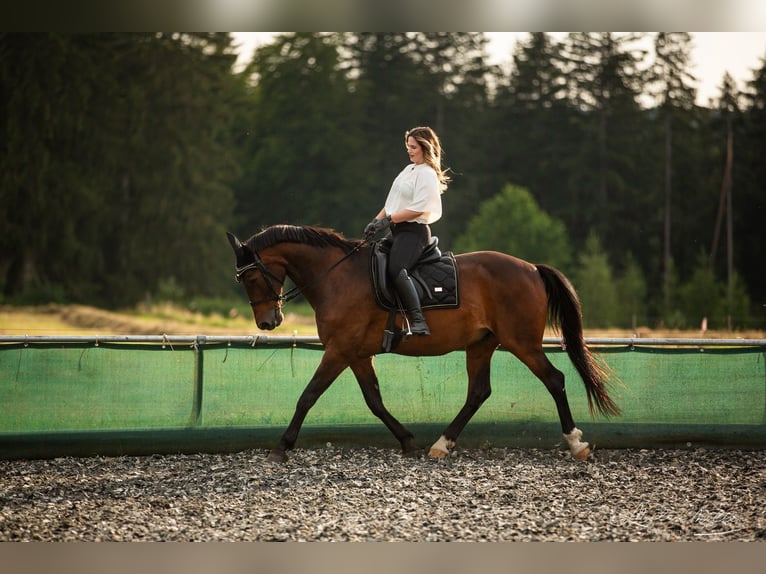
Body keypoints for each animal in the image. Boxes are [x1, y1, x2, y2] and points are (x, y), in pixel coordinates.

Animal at [226, 225, 620, 463]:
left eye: (252, 278)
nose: (267, 322)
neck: (337, 278)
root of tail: (533, 269)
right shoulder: (356, 354)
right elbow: (374, 400)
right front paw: (407, 440)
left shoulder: (338, 351)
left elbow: (308, 396)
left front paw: (281, 447)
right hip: (482, 345)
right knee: (478, 392)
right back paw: (441, 444)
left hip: (522, 343)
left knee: (554, 380)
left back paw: (576, 443)